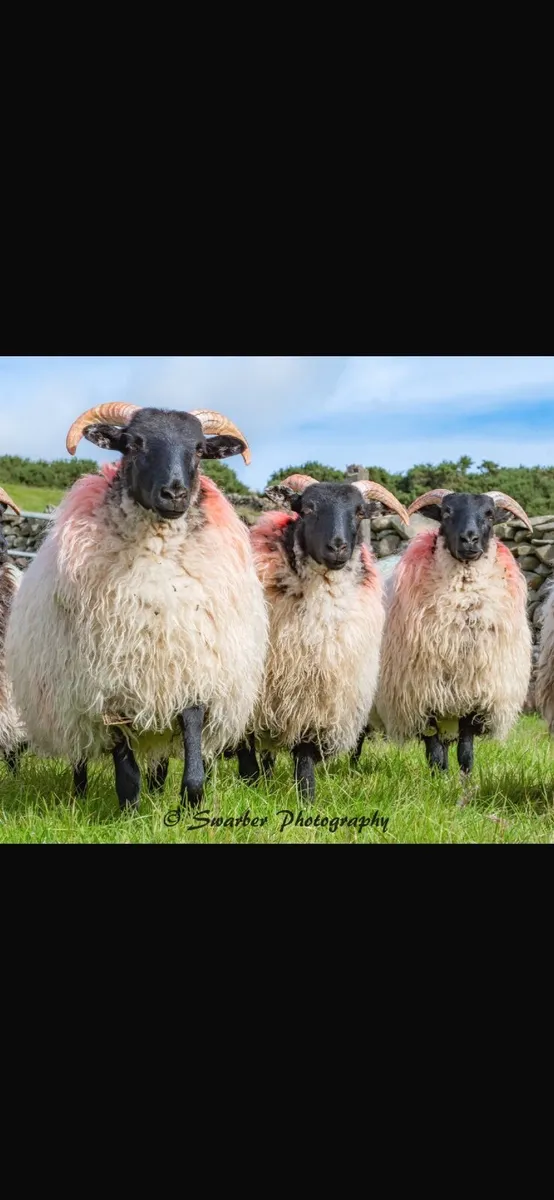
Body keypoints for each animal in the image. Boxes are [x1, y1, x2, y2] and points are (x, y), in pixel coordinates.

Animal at [5, 403, 268, 812]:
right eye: (133, 444)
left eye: (198, 448)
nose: (174, 493)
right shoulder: (110, 687)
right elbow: (124, 766)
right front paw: (129, 809)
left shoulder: (192, 670)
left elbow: (192, 742)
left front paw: (190, 801)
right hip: (69, 704)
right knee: (80, 756)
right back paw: (79, 796)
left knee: (158, 756)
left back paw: (158, 788)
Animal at [235, 473, 409, 799]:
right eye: (307, 509)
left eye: (359, 512)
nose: (337, 547)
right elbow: (245, 751)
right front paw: (248, 788)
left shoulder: (317, 694)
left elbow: (304, 758)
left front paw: (306, 797)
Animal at [375, 489, 533, 775]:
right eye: (446, 512)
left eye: (489, 514)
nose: (469, 538)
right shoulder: (421, 696)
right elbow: (434, 748)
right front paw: (438, 777)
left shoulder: (474, 695)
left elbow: (466, 749)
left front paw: (463, 778)